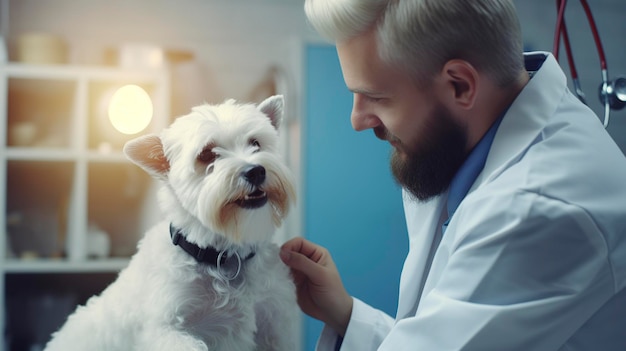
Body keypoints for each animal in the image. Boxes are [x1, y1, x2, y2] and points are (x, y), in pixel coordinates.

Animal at [44, 96, 298, 351]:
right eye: (207, 154)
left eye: (255, 143)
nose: (255, 171)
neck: (223, 254)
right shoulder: (165, 328)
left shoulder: (273, 322)